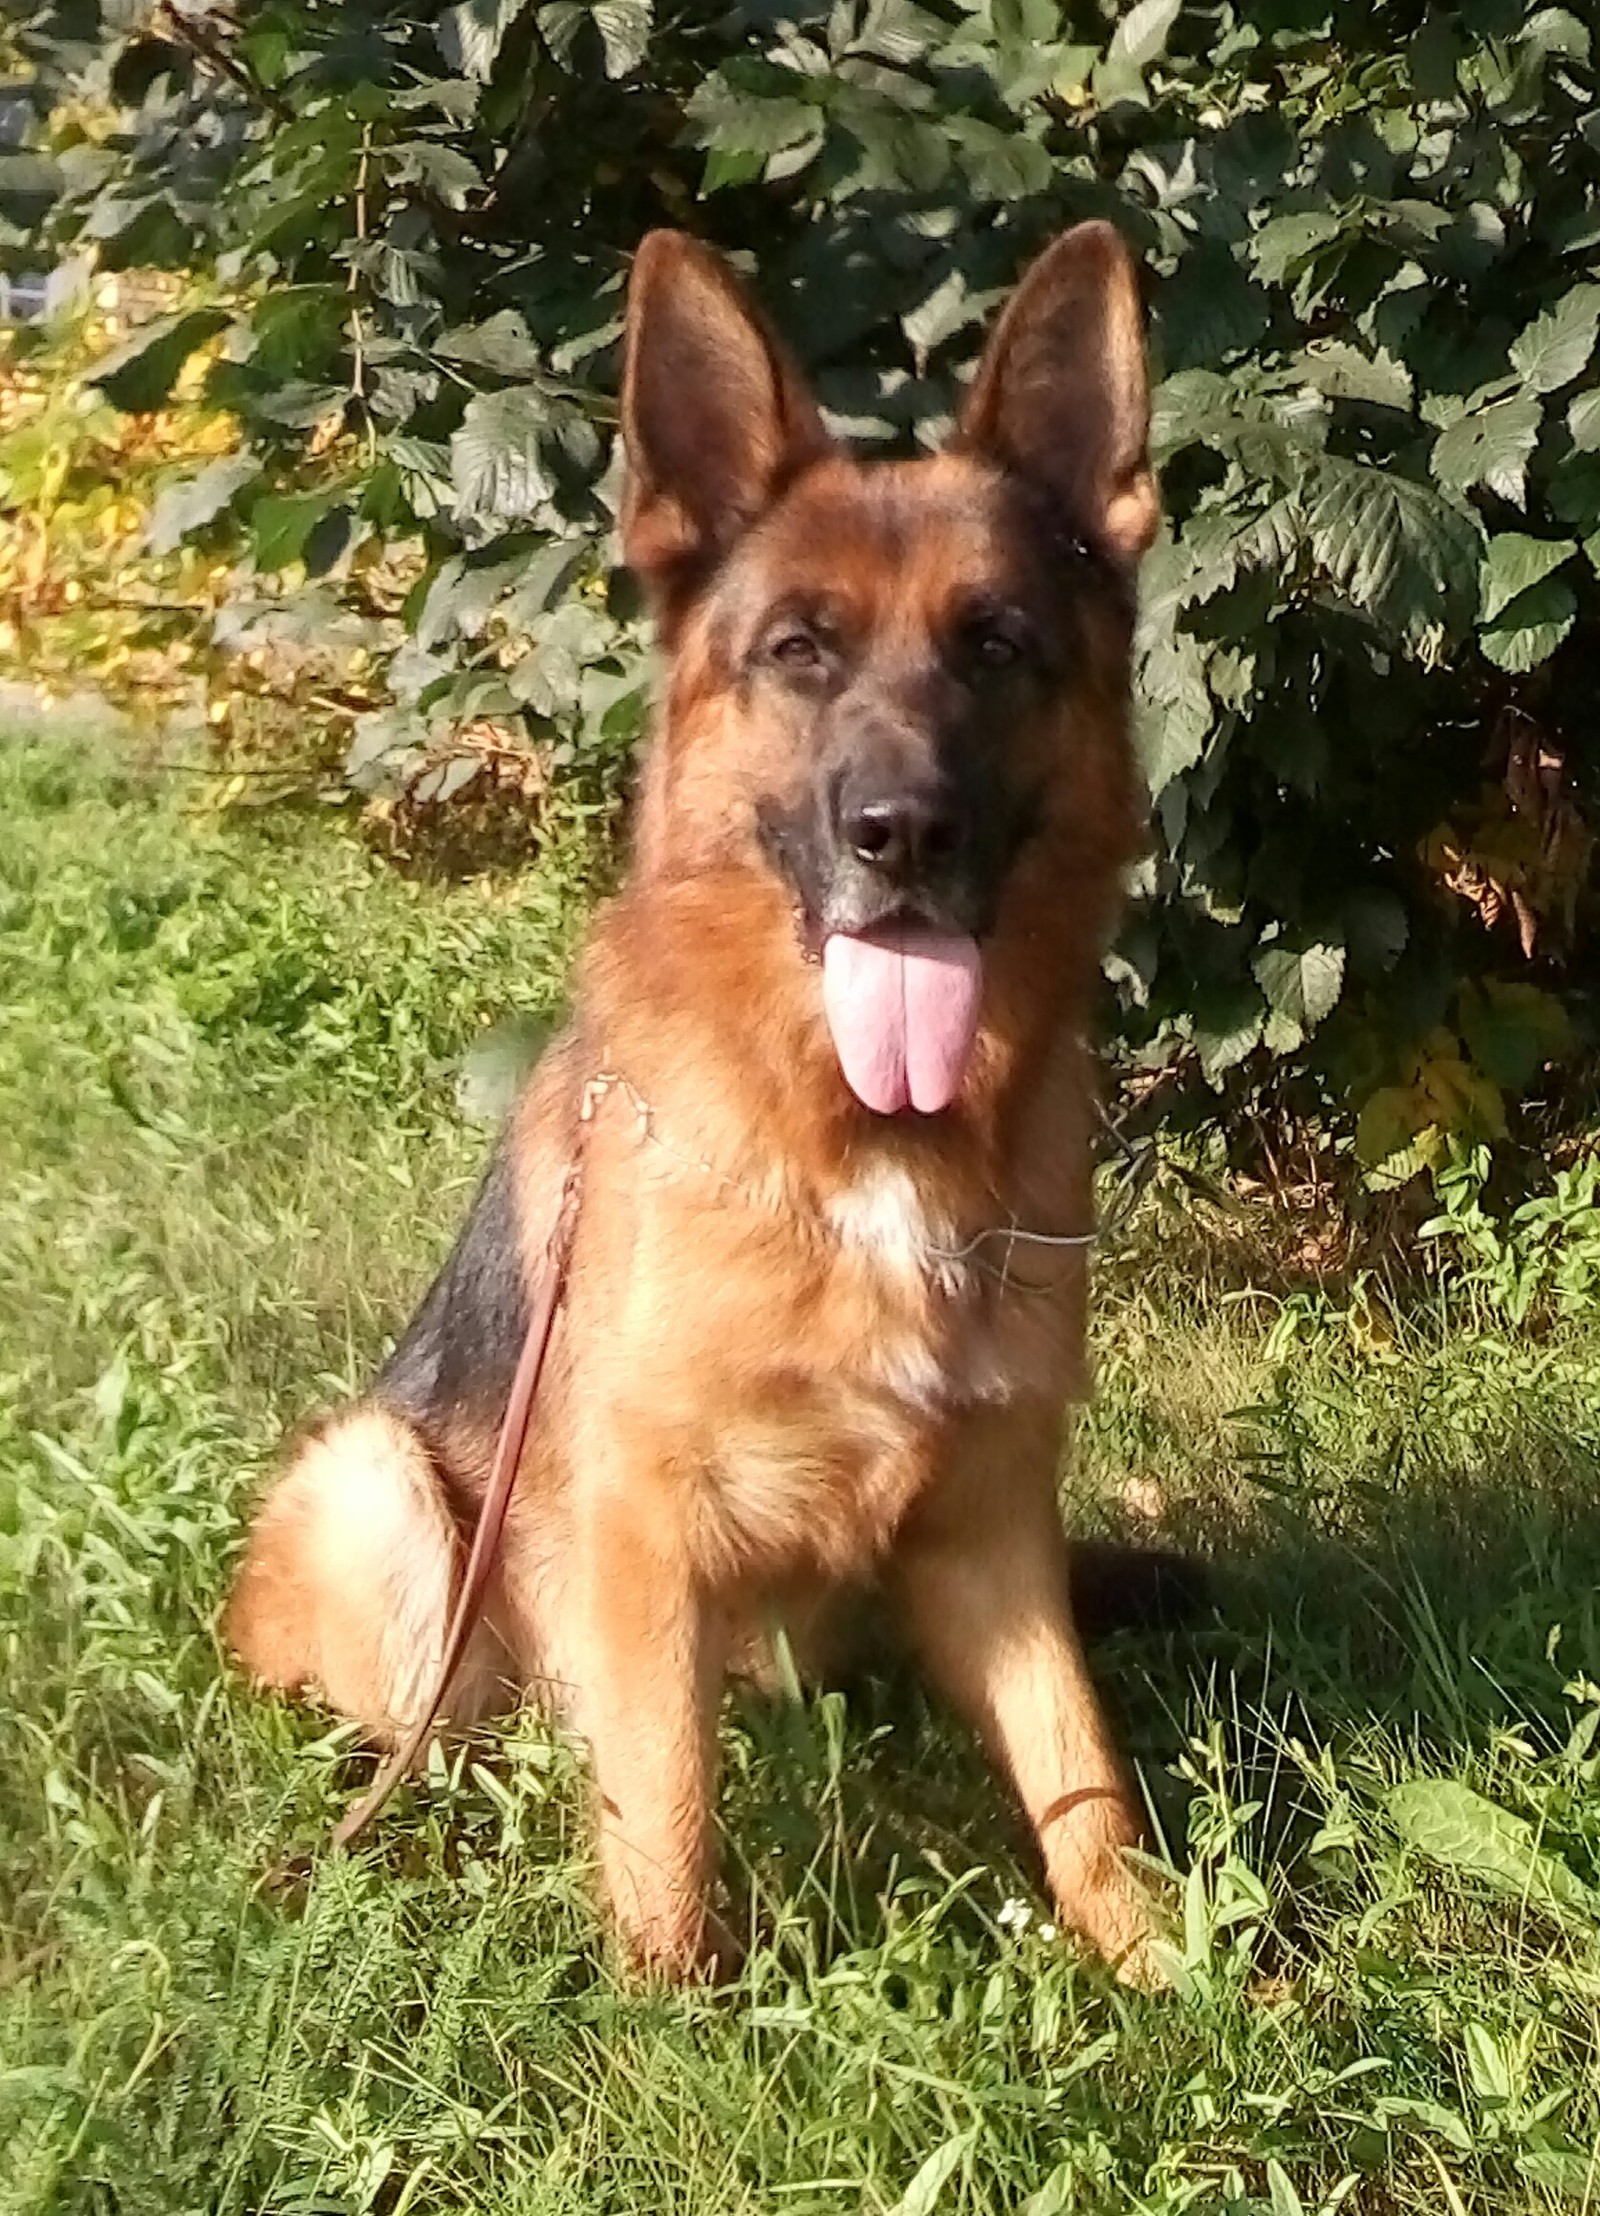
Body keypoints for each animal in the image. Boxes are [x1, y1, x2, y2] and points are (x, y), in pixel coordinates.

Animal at [227, 224, 1170, 1985]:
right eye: (798, 650)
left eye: (997, 645)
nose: (903, 834)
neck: (861, 1143)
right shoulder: (644, 1529)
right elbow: (666, 1808)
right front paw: (668, 2013)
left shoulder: (995, 1529)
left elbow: (1082, 1772)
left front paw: (1176, 1964)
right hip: (382, 1493)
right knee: (450, 1735)